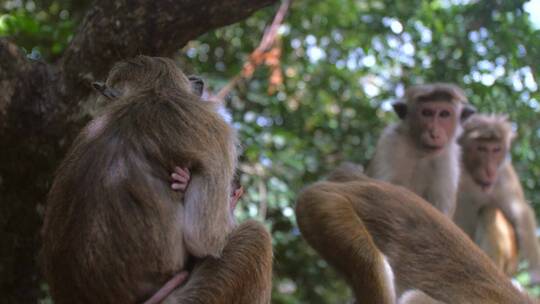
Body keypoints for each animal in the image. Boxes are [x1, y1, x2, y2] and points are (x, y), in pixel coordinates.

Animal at [364, 83, 474, 216]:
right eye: (426, 113)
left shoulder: (447, 158)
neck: (420, 151)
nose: (434, 133)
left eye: (444, 114)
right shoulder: (390, 141)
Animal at [452, 115, 540, 282]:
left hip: (510, 261)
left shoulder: (504, 175)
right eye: (481, 149)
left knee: (489, 211)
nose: (489, 169)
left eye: (496, 150)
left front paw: (536, 272)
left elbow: (521, 212)